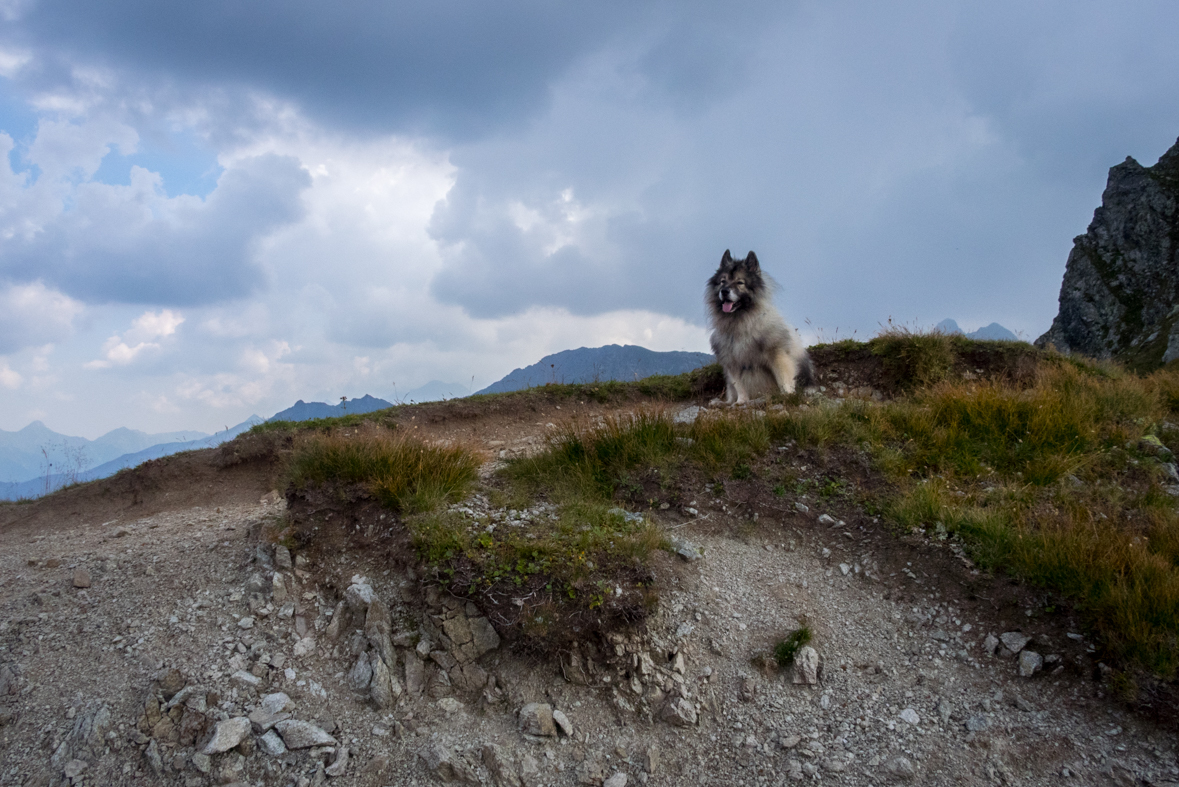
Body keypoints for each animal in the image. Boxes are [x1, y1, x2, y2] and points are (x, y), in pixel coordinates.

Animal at [702, 248, 815, 402]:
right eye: (722, 281)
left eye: (740, 282)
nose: (724, 291)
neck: (741, 322)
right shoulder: (732, 362)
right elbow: (739, 386)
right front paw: (741, 402)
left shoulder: (777, 355)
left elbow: (784, 378)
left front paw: (787, 395)